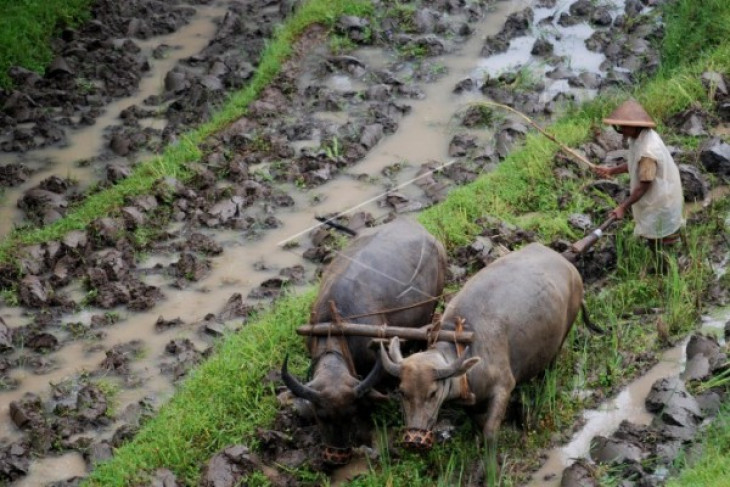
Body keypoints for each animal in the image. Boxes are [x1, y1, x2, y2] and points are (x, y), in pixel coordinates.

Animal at [378, 242, 600, 452]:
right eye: (402, 392)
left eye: (432, 393)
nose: (414, 439)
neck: (464, 344)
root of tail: (569, 266)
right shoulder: (471, 402)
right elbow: (477, 422)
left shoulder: (504, 386)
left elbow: (490, 433)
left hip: (562, 336)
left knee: (550, 367)